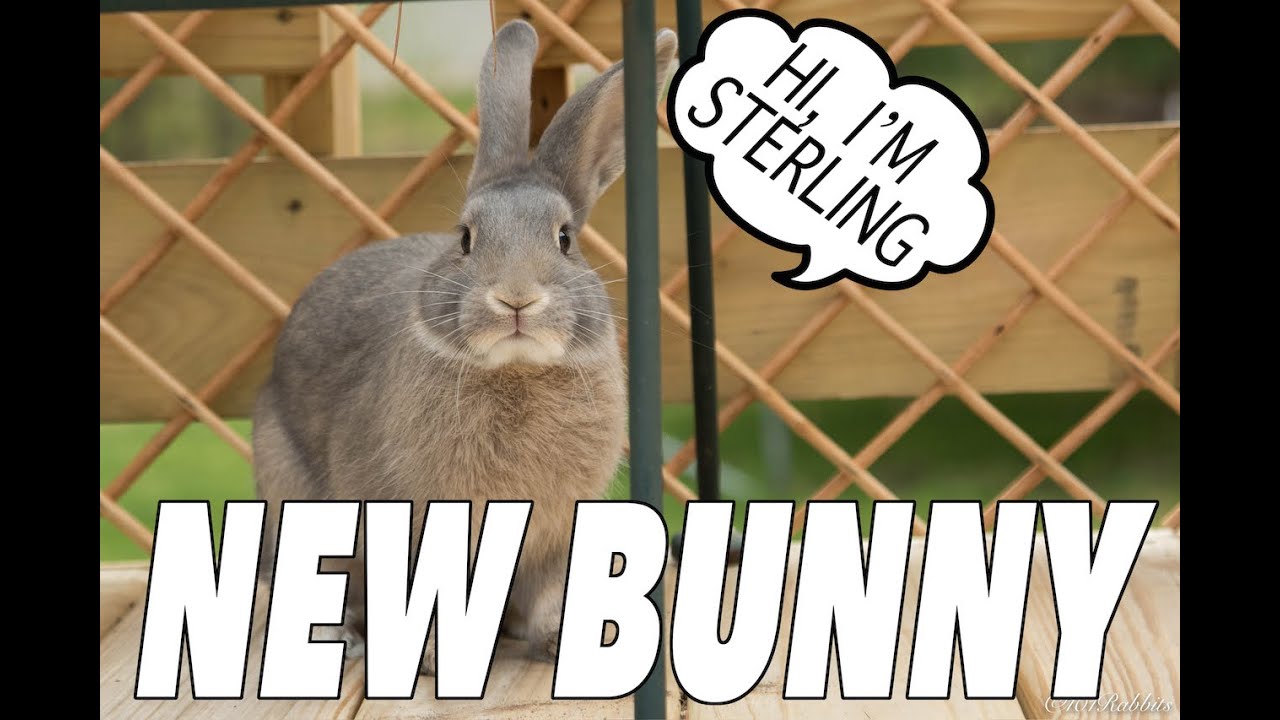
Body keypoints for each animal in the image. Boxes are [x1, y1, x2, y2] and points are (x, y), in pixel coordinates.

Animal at [252, 19, 679, 675]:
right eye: (465, 239)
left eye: (565, 239)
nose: (516, 298)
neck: (517, 371)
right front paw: (431, 658)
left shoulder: (555, 540)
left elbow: (547, 594)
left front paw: (556, 641)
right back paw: (343, 639)